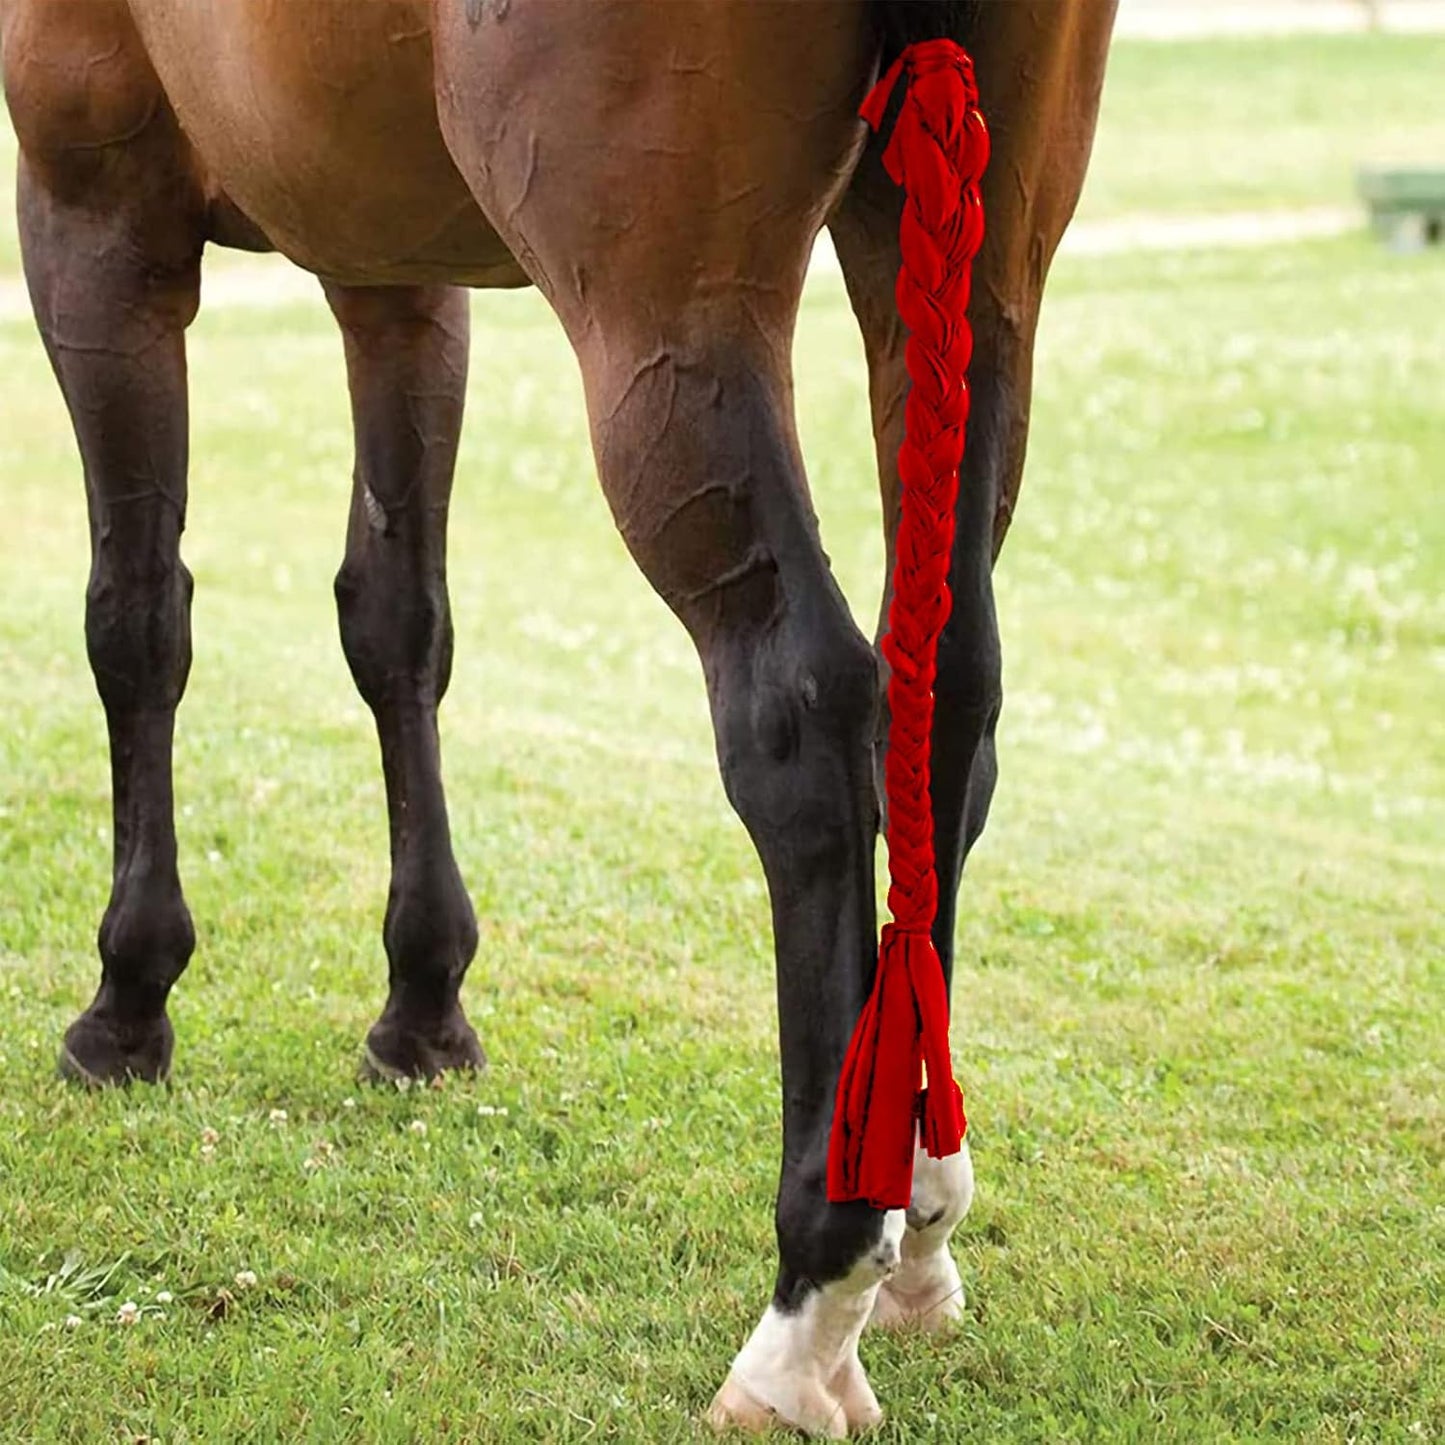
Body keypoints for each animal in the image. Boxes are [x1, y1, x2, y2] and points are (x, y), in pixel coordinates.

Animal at [1, 0, 1116, 1432]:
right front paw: (423, 1003)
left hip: (664, 321)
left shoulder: (95, 208)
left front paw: (129, 998)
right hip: (974, 280)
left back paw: (807, 1304)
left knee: (806, 713)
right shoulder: (394, 266)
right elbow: (396, 620)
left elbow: (136, 619)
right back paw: (915, 1215)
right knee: (944, 705)